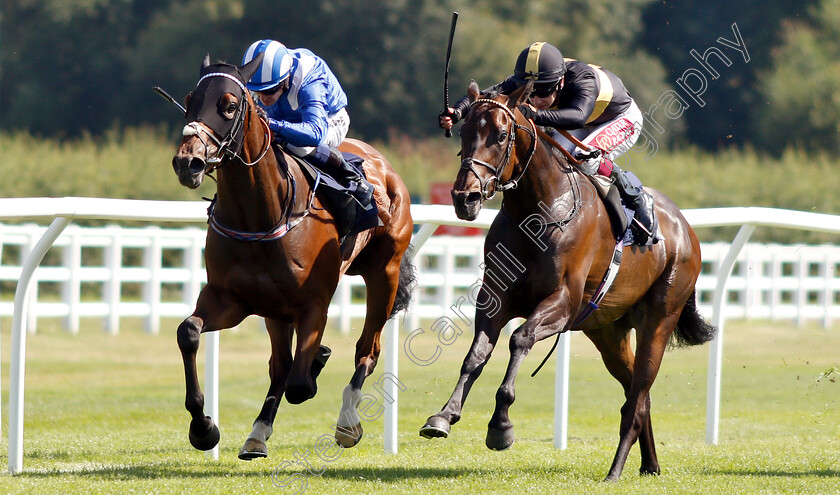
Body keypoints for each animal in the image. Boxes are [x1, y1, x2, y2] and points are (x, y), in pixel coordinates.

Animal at [170, 54, 414, 462]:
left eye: (229, 105)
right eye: (190, 99)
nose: (187, 162)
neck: (260, 216)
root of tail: (386, 165)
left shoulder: (314, 304)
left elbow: (302, 384)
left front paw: (318, 361)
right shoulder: (230, 299)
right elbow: (188, 332)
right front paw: (203, 429)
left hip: (385, 273)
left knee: (367, 350)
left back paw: (347, 421)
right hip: (274, 309)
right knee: (281, 365)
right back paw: (257, 434)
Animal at [420, 81, 716, 480]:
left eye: (501, 135)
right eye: (465, 133)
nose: (464, 197)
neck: (535, 212)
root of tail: (686, 229)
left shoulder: (562, 302)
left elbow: (520, 338)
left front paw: (500, 427)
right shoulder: (495, 297)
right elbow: (476, 355)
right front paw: (443, 416)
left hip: (659, 319)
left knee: (637, 397)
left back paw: (614, 471)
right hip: (607, 332)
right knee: (638, 394)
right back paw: (650, 464)